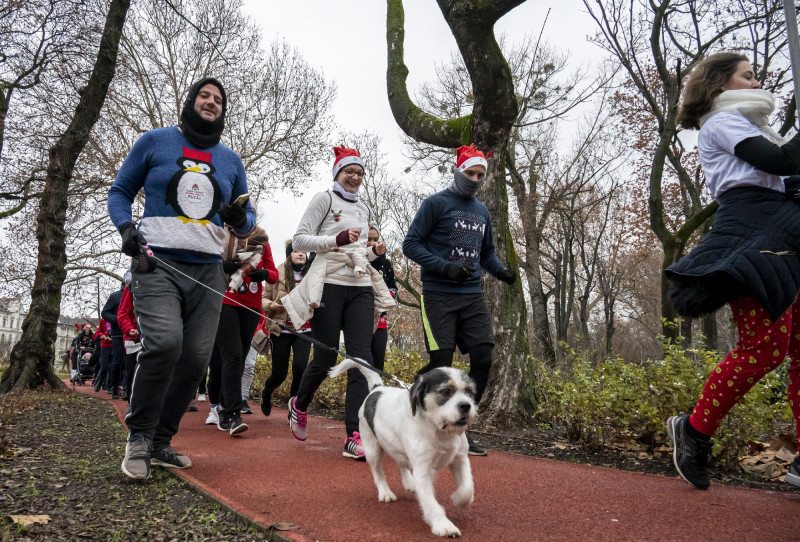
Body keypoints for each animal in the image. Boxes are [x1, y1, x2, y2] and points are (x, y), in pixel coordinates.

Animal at [330, 362, 478, 540]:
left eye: (469, 392)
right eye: (446, 391)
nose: (466, 405)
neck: (439, 431)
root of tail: (377, 388)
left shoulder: (460, 460)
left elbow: (468, 488)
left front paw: (458, 500)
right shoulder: (423, 470)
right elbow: (430, 502)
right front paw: (443, 525)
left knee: (401, 463)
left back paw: (409, 483)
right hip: (372, 449)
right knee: (378, 472)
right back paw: (385, 493)